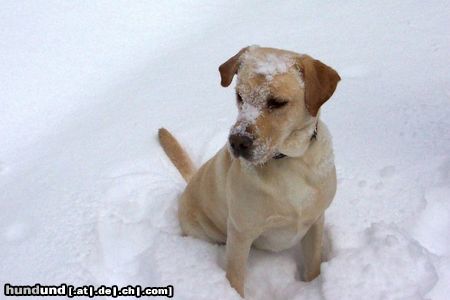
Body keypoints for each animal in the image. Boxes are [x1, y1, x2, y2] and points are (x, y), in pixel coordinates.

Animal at [160, 45, 340, 296]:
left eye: (277, 102)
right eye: (239, 96)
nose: (237, 142)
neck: (288, 161)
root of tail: (191, 180)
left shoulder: (315, 221)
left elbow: (313, 265)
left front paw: (312, 287)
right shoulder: (241, 233)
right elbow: (235, 278)